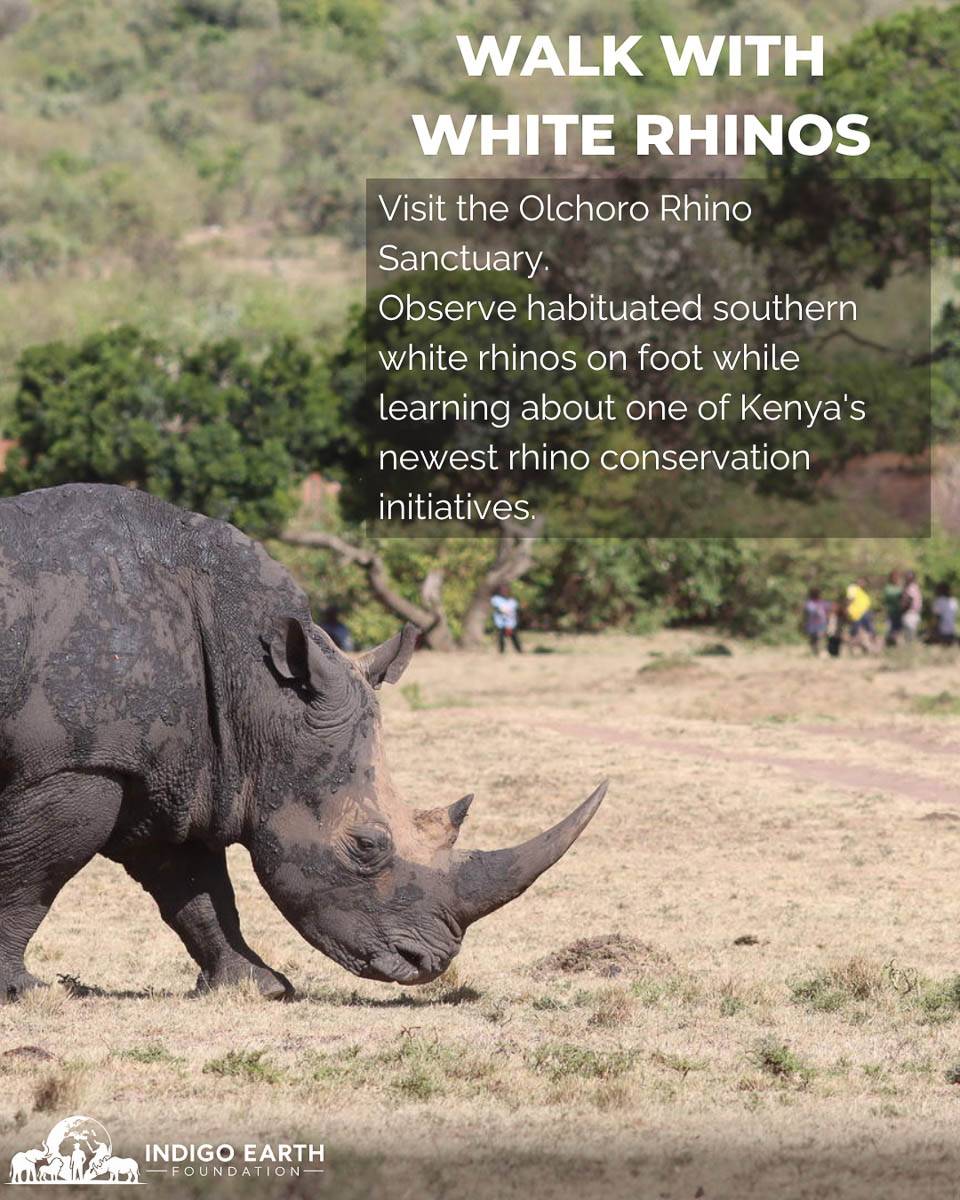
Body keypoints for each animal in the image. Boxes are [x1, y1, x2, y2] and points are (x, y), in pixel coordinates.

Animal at [0, 484, 605, 1000]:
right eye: (366, 845)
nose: (426, 964)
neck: (259, 690)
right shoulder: (79, 765)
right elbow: (33, 875)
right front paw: (23, 991)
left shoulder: (164, 769)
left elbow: (195, 887)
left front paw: (259, 986)